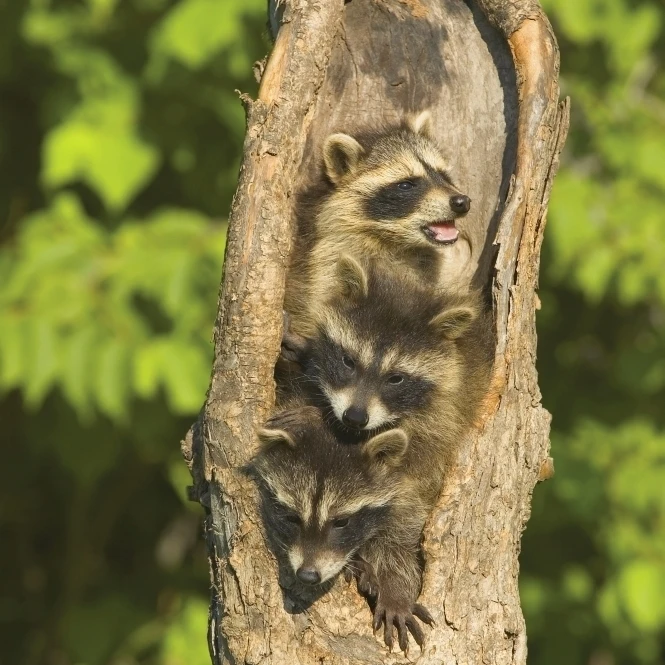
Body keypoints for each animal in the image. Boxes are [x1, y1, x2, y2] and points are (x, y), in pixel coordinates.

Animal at [252, 405, 434, 652]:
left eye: (341, 522)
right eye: (293, 518)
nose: (307, 575)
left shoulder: (406, 496)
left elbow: (400, 546)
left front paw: (396, 591)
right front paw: (357, 564)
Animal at [281, 254, 494, 507]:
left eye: (395, 379)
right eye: (348, 361)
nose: (354, 418)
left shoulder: (448, 414)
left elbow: (409, 456)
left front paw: (316, 417)